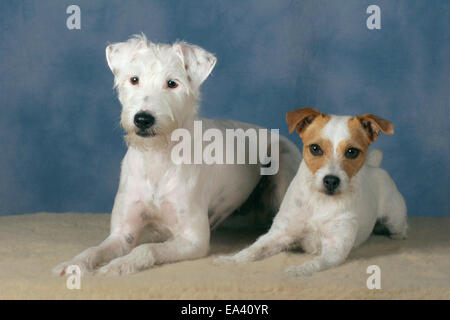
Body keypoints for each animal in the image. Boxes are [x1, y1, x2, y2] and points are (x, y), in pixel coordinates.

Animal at [52, 34, 300, 276]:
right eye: (134, 79)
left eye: (172, 83)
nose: (143, 119)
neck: (156, 158)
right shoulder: (123, 234)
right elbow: (95, 249)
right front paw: (74, 264)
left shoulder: (193, 240)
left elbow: (147, 248)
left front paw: (120, 264)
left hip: (283, 168)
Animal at [216, 107, 410, 276]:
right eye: (315, 148)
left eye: (352, 152)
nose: (331, 180)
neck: (320, 201)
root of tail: (374, 167)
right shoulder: (279, 234)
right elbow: (253, 250)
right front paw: (230, 260)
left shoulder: (334, 248)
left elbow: (316, 263)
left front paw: (298, 271)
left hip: (394, 219)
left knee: (400, 229)